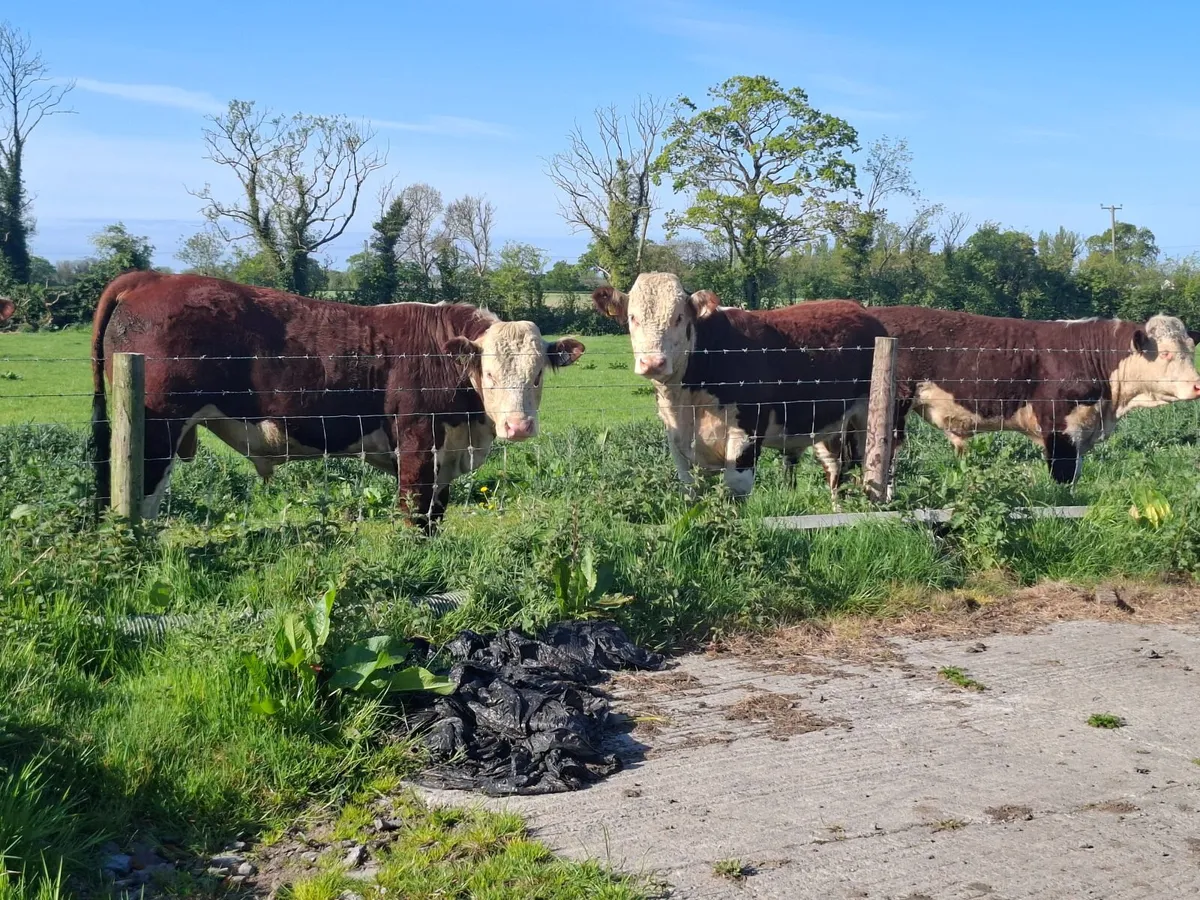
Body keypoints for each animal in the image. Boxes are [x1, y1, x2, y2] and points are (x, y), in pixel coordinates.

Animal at [90, 271, 585, 530]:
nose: (518, 427)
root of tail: (155, 277)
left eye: (538, 375)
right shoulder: (417, 445)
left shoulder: (445, 455)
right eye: (489, 373)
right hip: (156, 432)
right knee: (139, 503)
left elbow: (434, 517)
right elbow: (413, 515)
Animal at [592, 272, 886, 500]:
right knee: (836, 468)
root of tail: (861, 310)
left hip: (871, 416)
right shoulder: (677, 441)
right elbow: (691, 491)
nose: (653, 362)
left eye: (678, 318)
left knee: (871, 465)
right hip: (829, 421)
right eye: (633, 318)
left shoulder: (746, 434)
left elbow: (735, 492)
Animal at [829, 306, 1200, 489]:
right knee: (880, 456)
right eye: (1167, 353)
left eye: (1189, 348)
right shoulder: (1060, 427)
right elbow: (1062, 477)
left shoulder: (1083, 429)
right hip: (892, 409)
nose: (1198, 385)